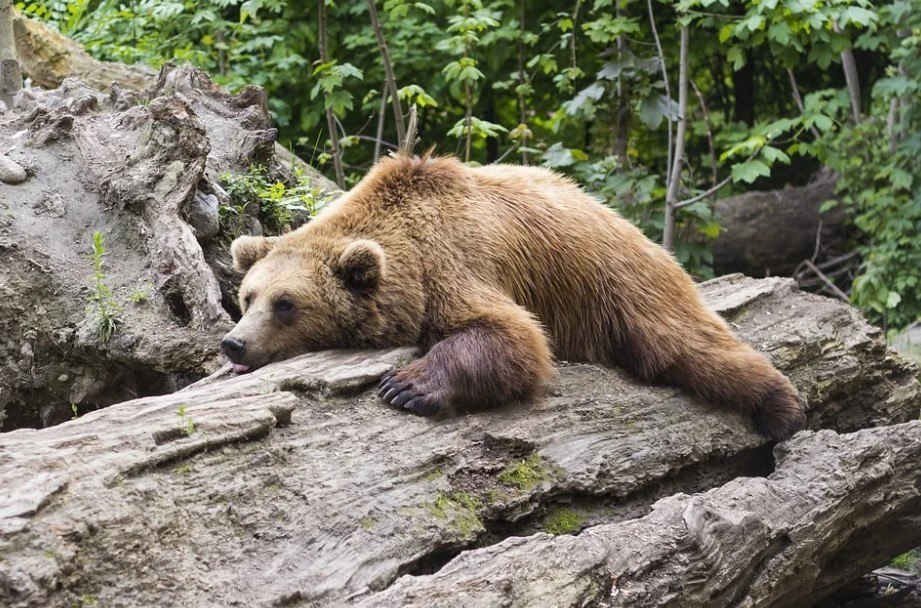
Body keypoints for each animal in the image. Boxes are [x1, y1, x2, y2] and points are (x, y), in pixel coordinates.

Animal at [226, 152, 808, 436]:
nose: (235, 343)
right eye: (248, 297)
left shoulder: (454, 264)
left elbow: (512, 336)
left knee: (687, 345)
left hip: (621, 284)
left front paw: (407, 386)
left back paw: (782, 407)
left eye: (286, 304)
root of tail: (626, 222)